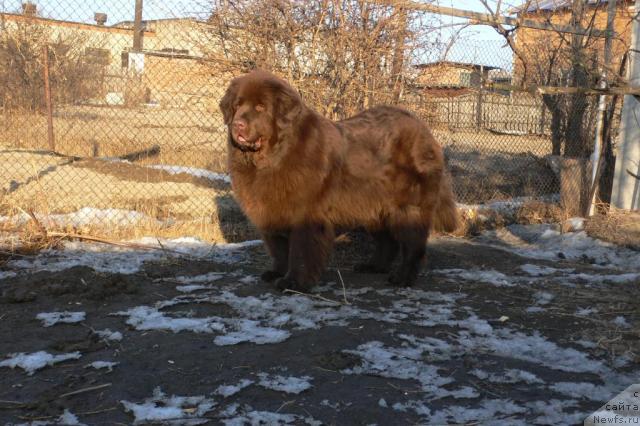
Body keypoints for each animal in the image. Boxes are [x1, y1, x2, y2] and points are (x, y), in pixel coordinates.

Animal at [221, 70, 460, 292]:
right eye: (237, 105)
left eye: (260, 107)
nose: (237, 125)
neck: (273, 157)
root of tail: (423, 128)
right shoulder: (271, 212)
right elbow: (279, 250)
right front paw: (277, 273)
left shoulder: (304, 214)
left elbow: (299, 251)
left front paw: (294, 282)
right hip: (374, 205)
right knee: (387, 241)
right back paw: (373, 266)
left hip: (407, 206)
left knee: (412, 245)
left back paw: (403, 278)